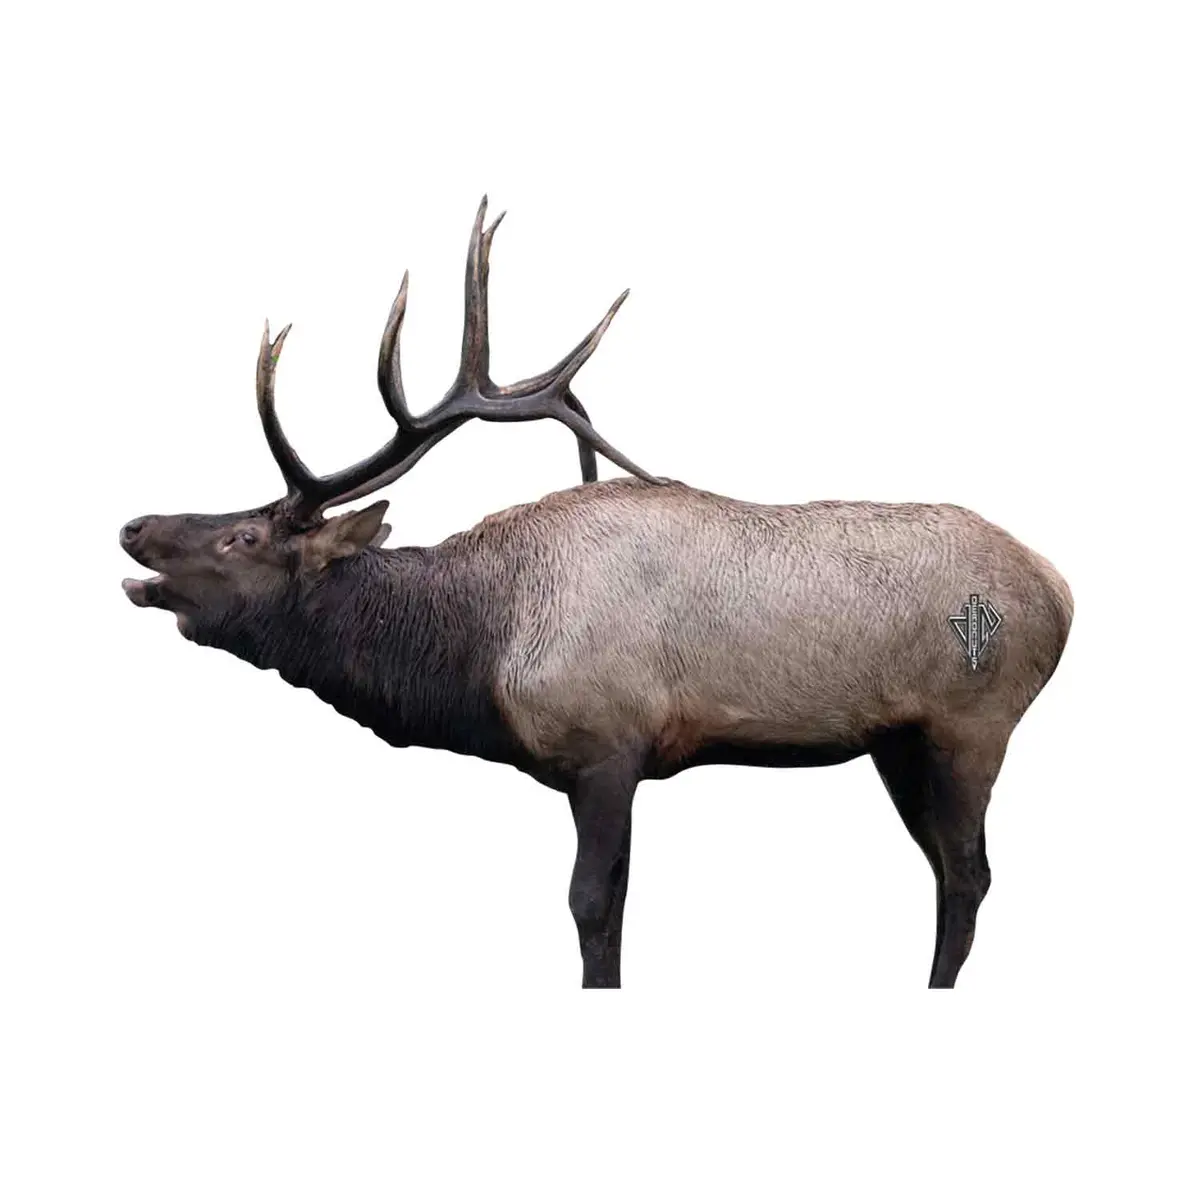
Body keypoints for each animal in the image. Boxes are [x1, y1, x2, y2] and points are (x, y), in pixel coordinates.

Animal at [120, 198, 1072, 988]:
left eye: (243, 537)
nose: (133, 527)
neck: (479, 647)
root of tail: (1062, 590)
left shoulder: (608, 746)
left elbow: (594, 910)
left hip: (970, 726)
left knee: (970, 874)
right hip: (897, 742)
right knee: (945, 872)